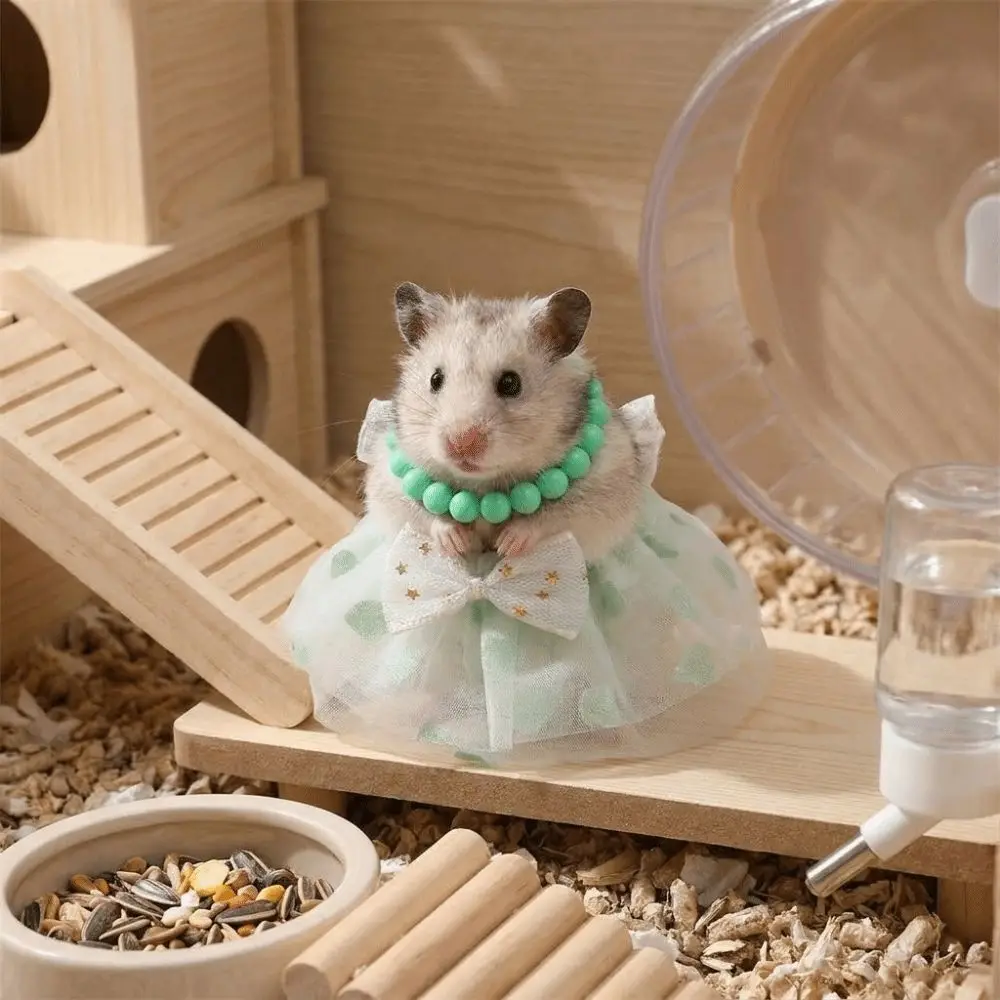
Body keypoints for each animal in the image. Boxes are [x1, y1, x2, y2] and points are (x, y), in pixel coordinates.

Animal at [363, 281, 643, 563]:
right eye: (435, 379)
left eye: (511, 383)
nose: (460, 444)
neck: (484, 487)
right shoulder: (387, 483)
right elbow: (422, 515)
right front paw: (458, 543)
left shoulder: (603, 492)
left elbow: (552, 518)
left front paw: (506, 545)